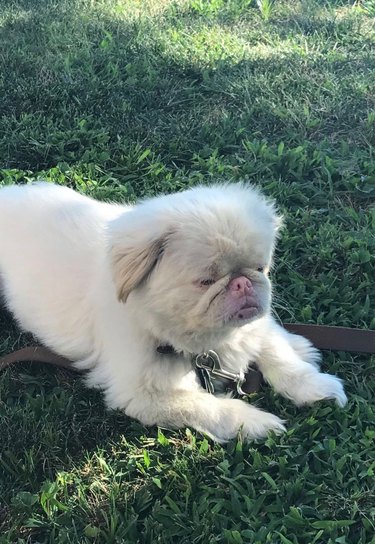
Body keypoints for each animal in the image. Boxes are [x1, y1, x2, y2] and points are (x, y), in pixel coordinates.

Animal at [0, 183, 348, 442]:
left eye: (260, 268)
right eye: (205, 281)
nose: (242, 283)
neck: (209, 341)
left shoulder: (253, 326)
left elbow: (279, 356)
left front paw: (317, 387)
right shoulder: (141, 393)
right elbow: (209, 407)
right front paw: (255, 423)